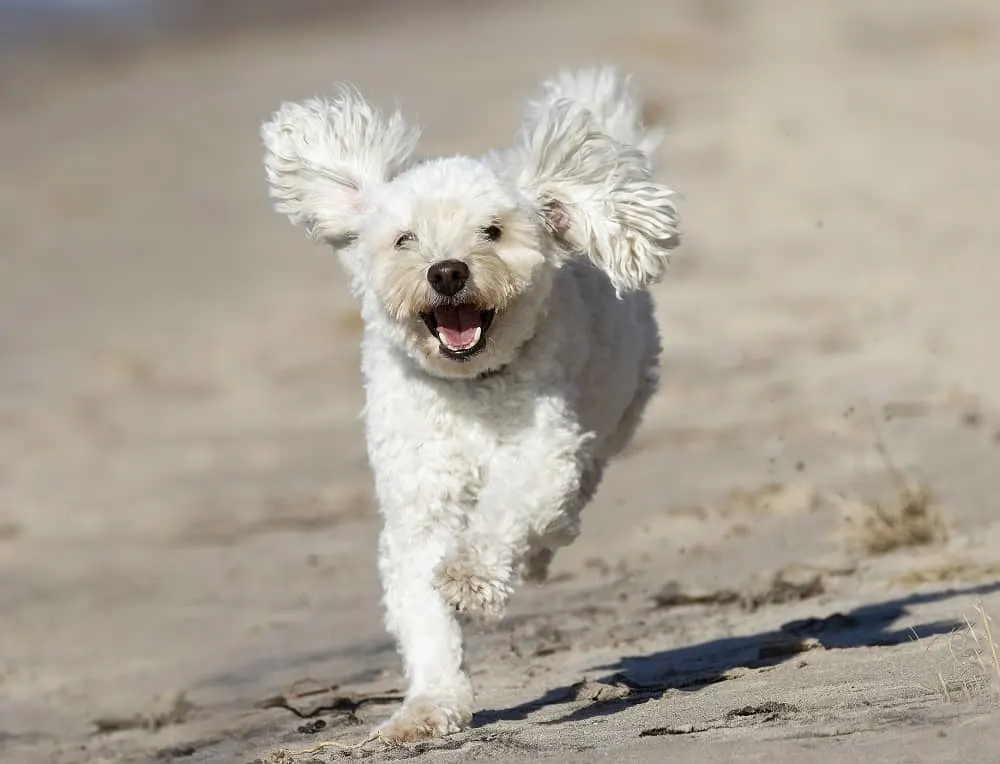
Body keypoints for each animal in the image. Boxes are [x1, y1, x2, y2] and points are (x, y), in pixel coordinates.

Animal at [260, 70, 680, 740]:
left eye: (493, 231)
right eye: (405, 238)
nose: (448, 272)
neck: (469, 385)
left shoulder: (541, 453)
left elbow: (506, 512)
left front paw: (473, 577)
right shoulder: (418, 503)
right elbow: (423, 613)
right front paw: (427, 707)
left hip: (615, 410)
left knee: (569, 498)